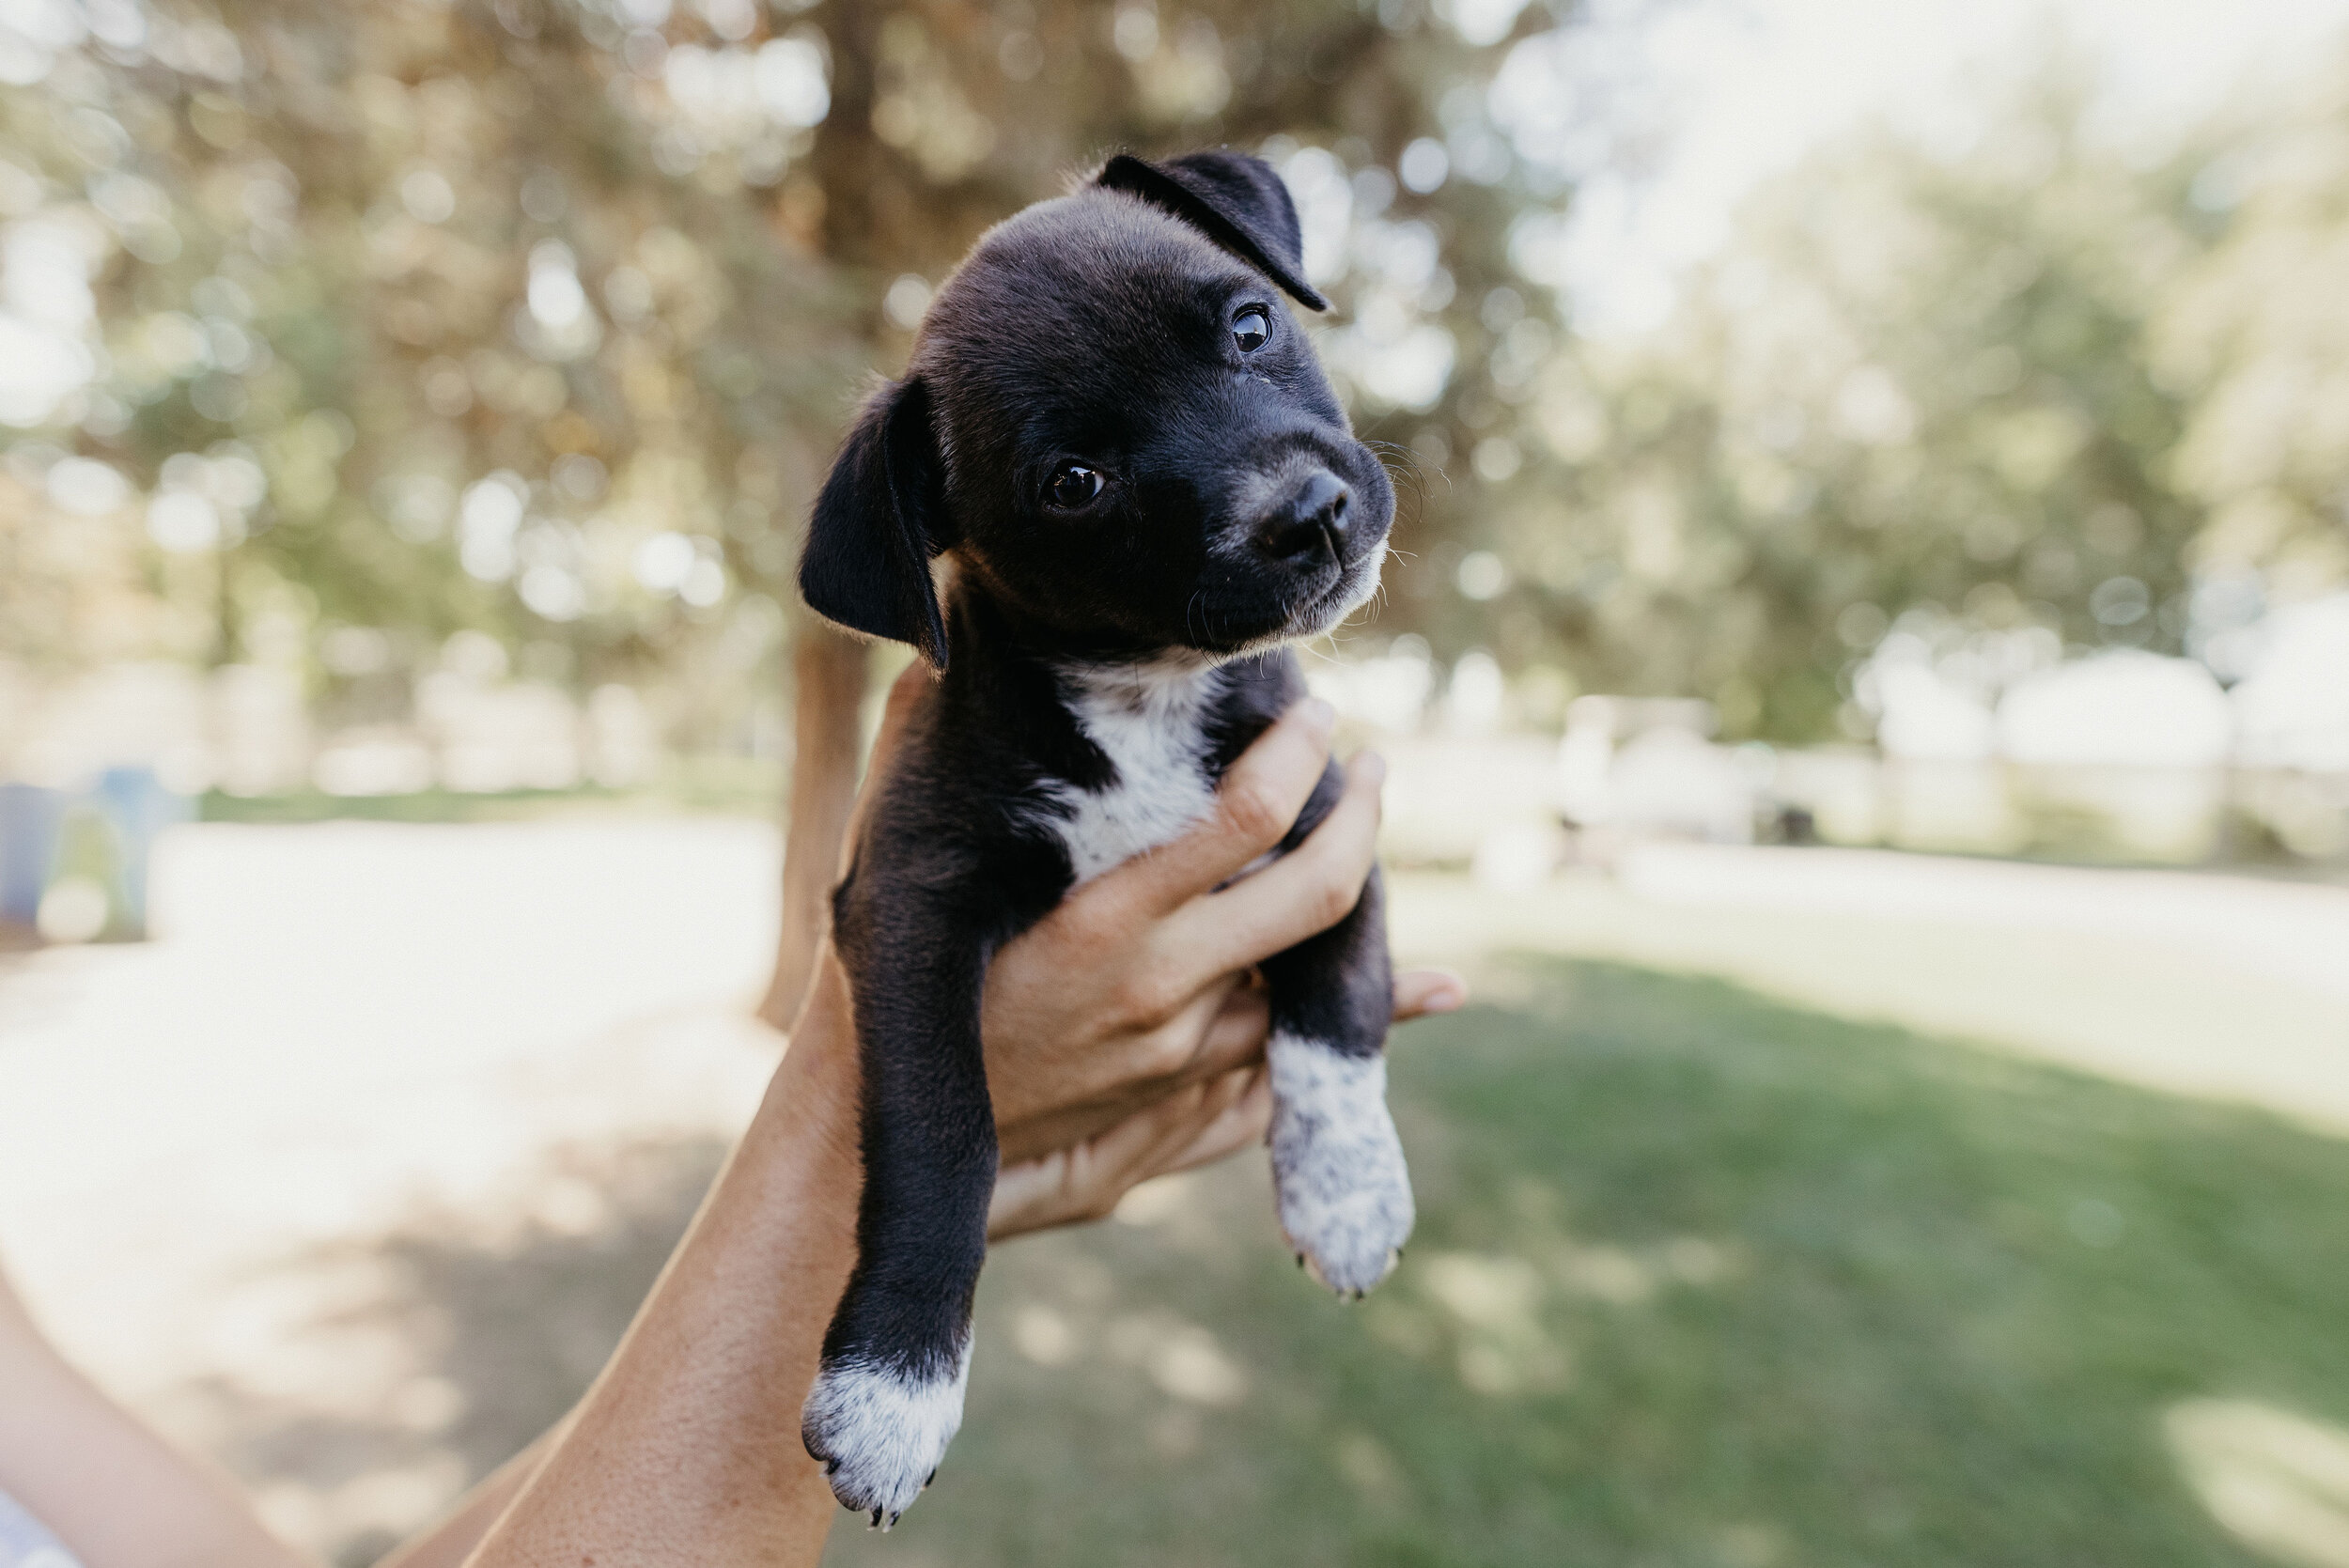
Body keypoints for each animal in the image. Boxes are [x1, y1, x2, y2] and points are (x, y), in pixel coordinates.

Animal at [799, 147, 1409, 1521]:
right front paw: (894, 1386)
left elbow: (1337, 1011)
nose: (1314, 512)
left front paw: (1346, 1193)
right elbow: (942, 1129)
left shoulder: (1329, 827)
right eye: (1074, 483)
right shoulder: (910, 900)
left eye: (1250, 326)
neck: (1150, 698)